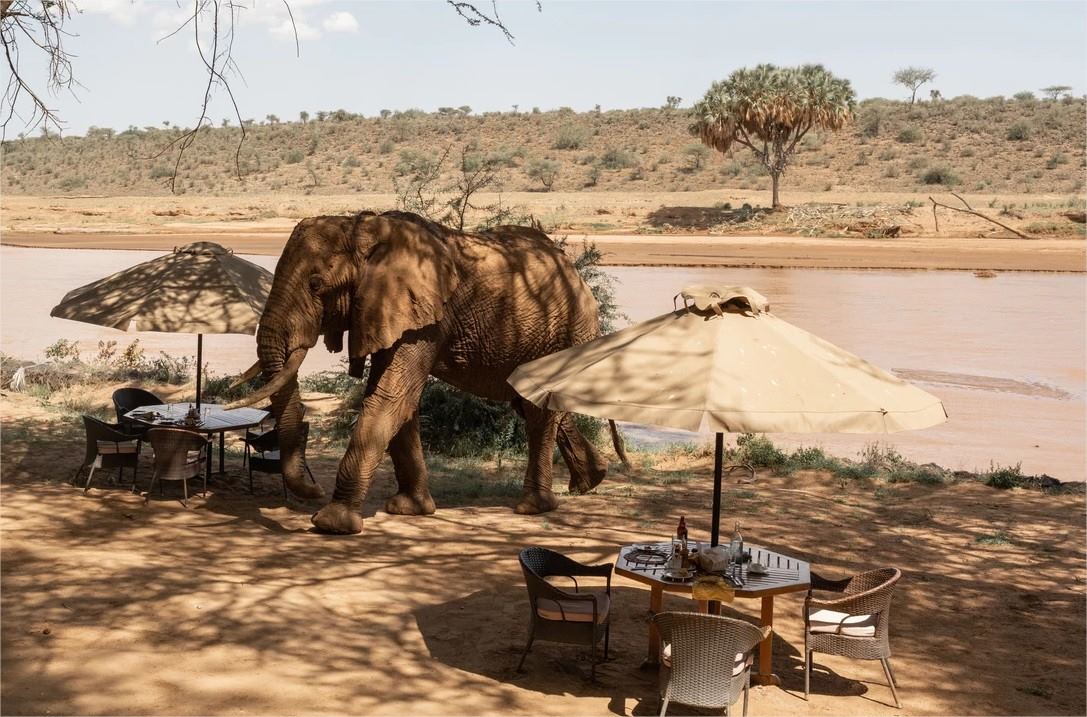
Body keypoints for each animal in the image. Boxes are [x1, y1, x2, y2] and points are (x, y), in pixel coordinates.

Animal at [229, 210, 619, 535]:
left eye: (316, 284)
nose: (313, 488)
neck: (364, 227)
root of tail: (575, 273)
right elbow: (401, 402)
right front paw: (410, 509)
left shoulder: (424, 317)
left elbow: (391, 396)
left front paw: (331, 523)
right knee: (531, 406)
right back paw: (589, 481)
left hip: (559, 334)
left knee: (538, 413)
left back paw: (532, 508)